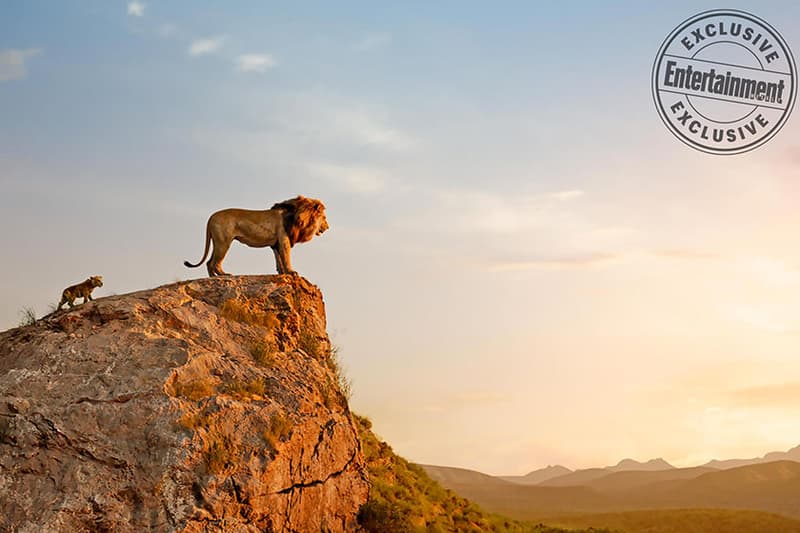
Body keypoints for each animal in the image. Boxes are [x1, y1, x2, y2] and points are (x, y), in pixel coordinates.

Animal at [184, 195, 329, 277]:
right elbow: (286, 257)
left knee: (209, 262)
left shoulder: (276, 243)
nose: (328, 227)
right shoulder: (284, 239)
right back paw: (224, 275)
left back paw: (213, 278)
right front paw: (291, 272)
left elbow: (279, 259)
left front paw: (282, 273)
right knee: (214, 262)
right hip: (224, 242)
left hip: (217, 241)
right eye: (324, 218)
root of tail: (211, 217)